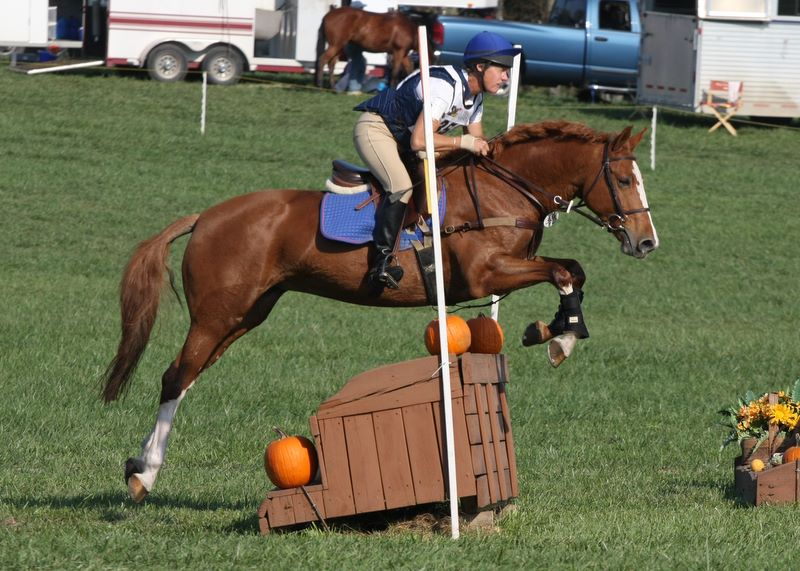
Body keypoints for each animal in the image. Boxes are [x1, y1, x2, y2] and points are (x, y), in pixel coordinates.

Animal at [101, 120, 658, 503]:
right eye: (624, 180)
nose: (647, 242)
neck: (506, 189)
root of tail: (206, 217)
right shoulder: (488, 273)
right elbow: (563, 271)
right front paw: (560, 335)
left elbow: (572, 270)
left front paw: (557, 330)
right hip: (218, 315)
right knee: (176, 377)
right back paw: (144, 474)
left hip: (244, 316)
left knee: (186, 377)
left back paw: (139, 465)